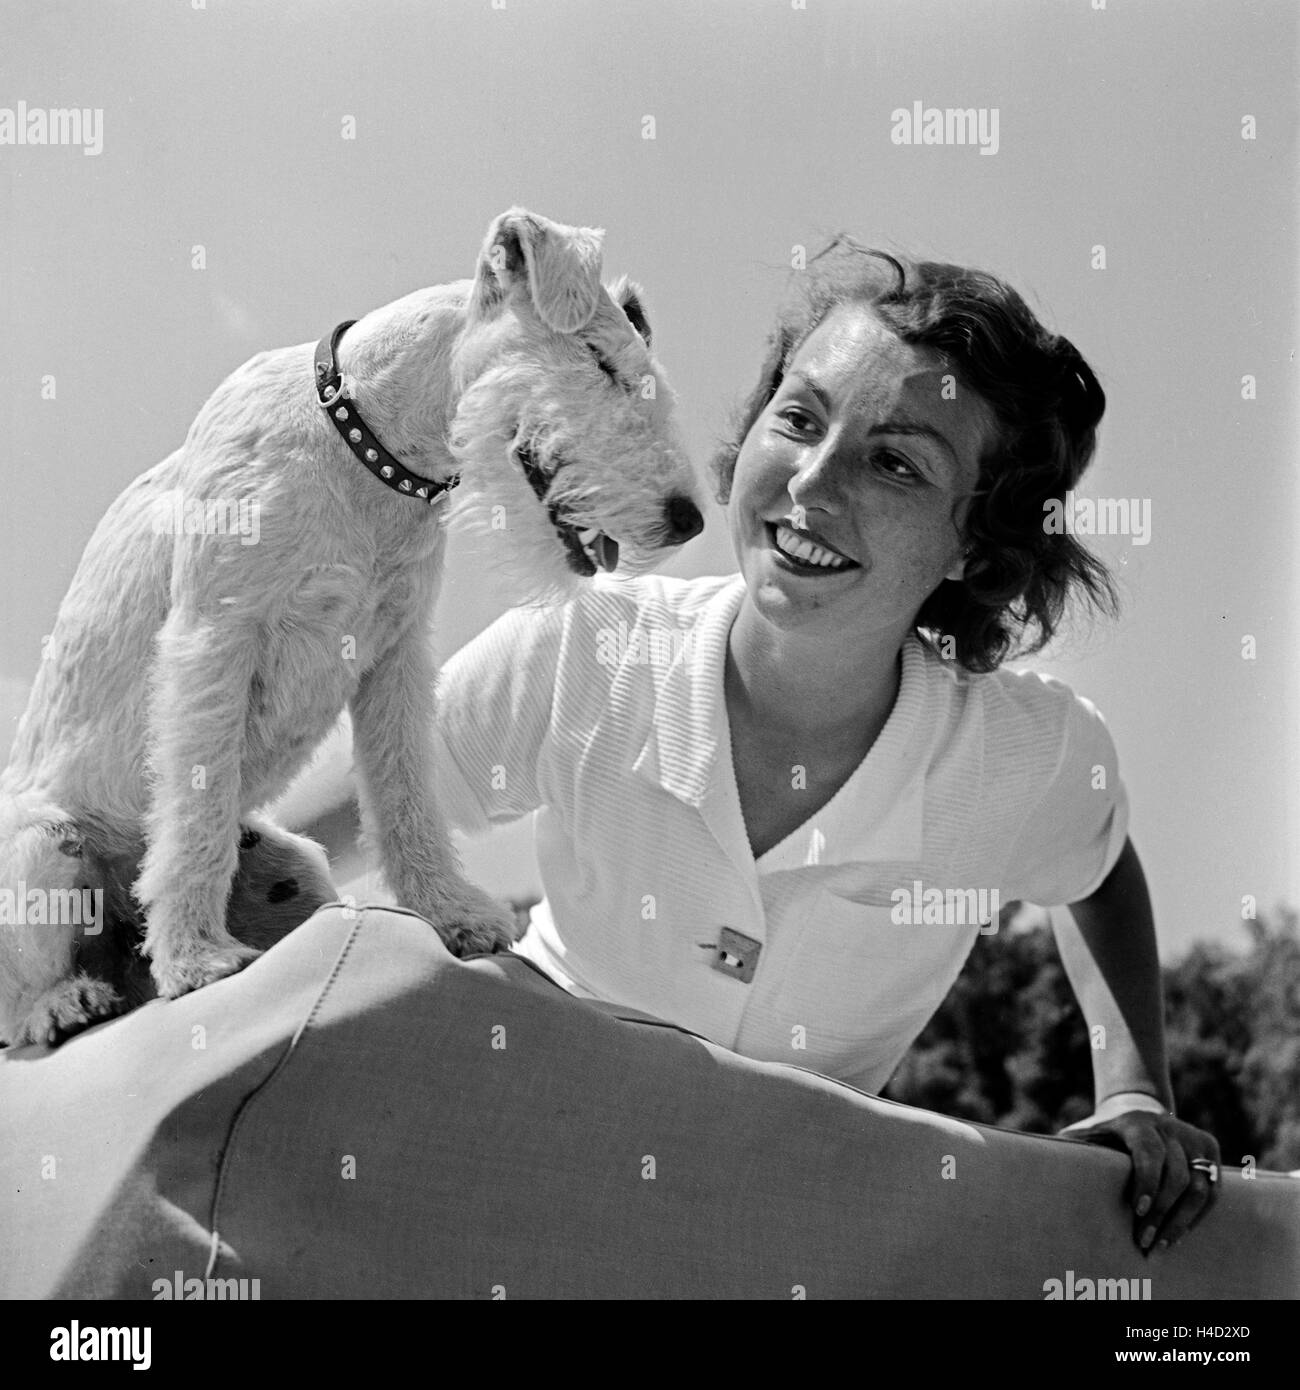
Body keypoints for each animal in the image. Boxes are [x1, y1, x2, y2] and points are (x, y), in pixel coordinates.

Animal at [0, 208, 700, 1045]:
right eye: (600, 362)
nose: (689, 518)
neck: (365, 445)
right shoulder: (213, 640)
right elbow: (197, 805)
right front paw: (197, 958)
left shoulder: (393, 657)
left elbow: (405, 796)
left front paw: (451, 911)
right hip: (44, 849)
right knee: (21, 998)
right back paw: (69, 999)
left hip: (295, 860)